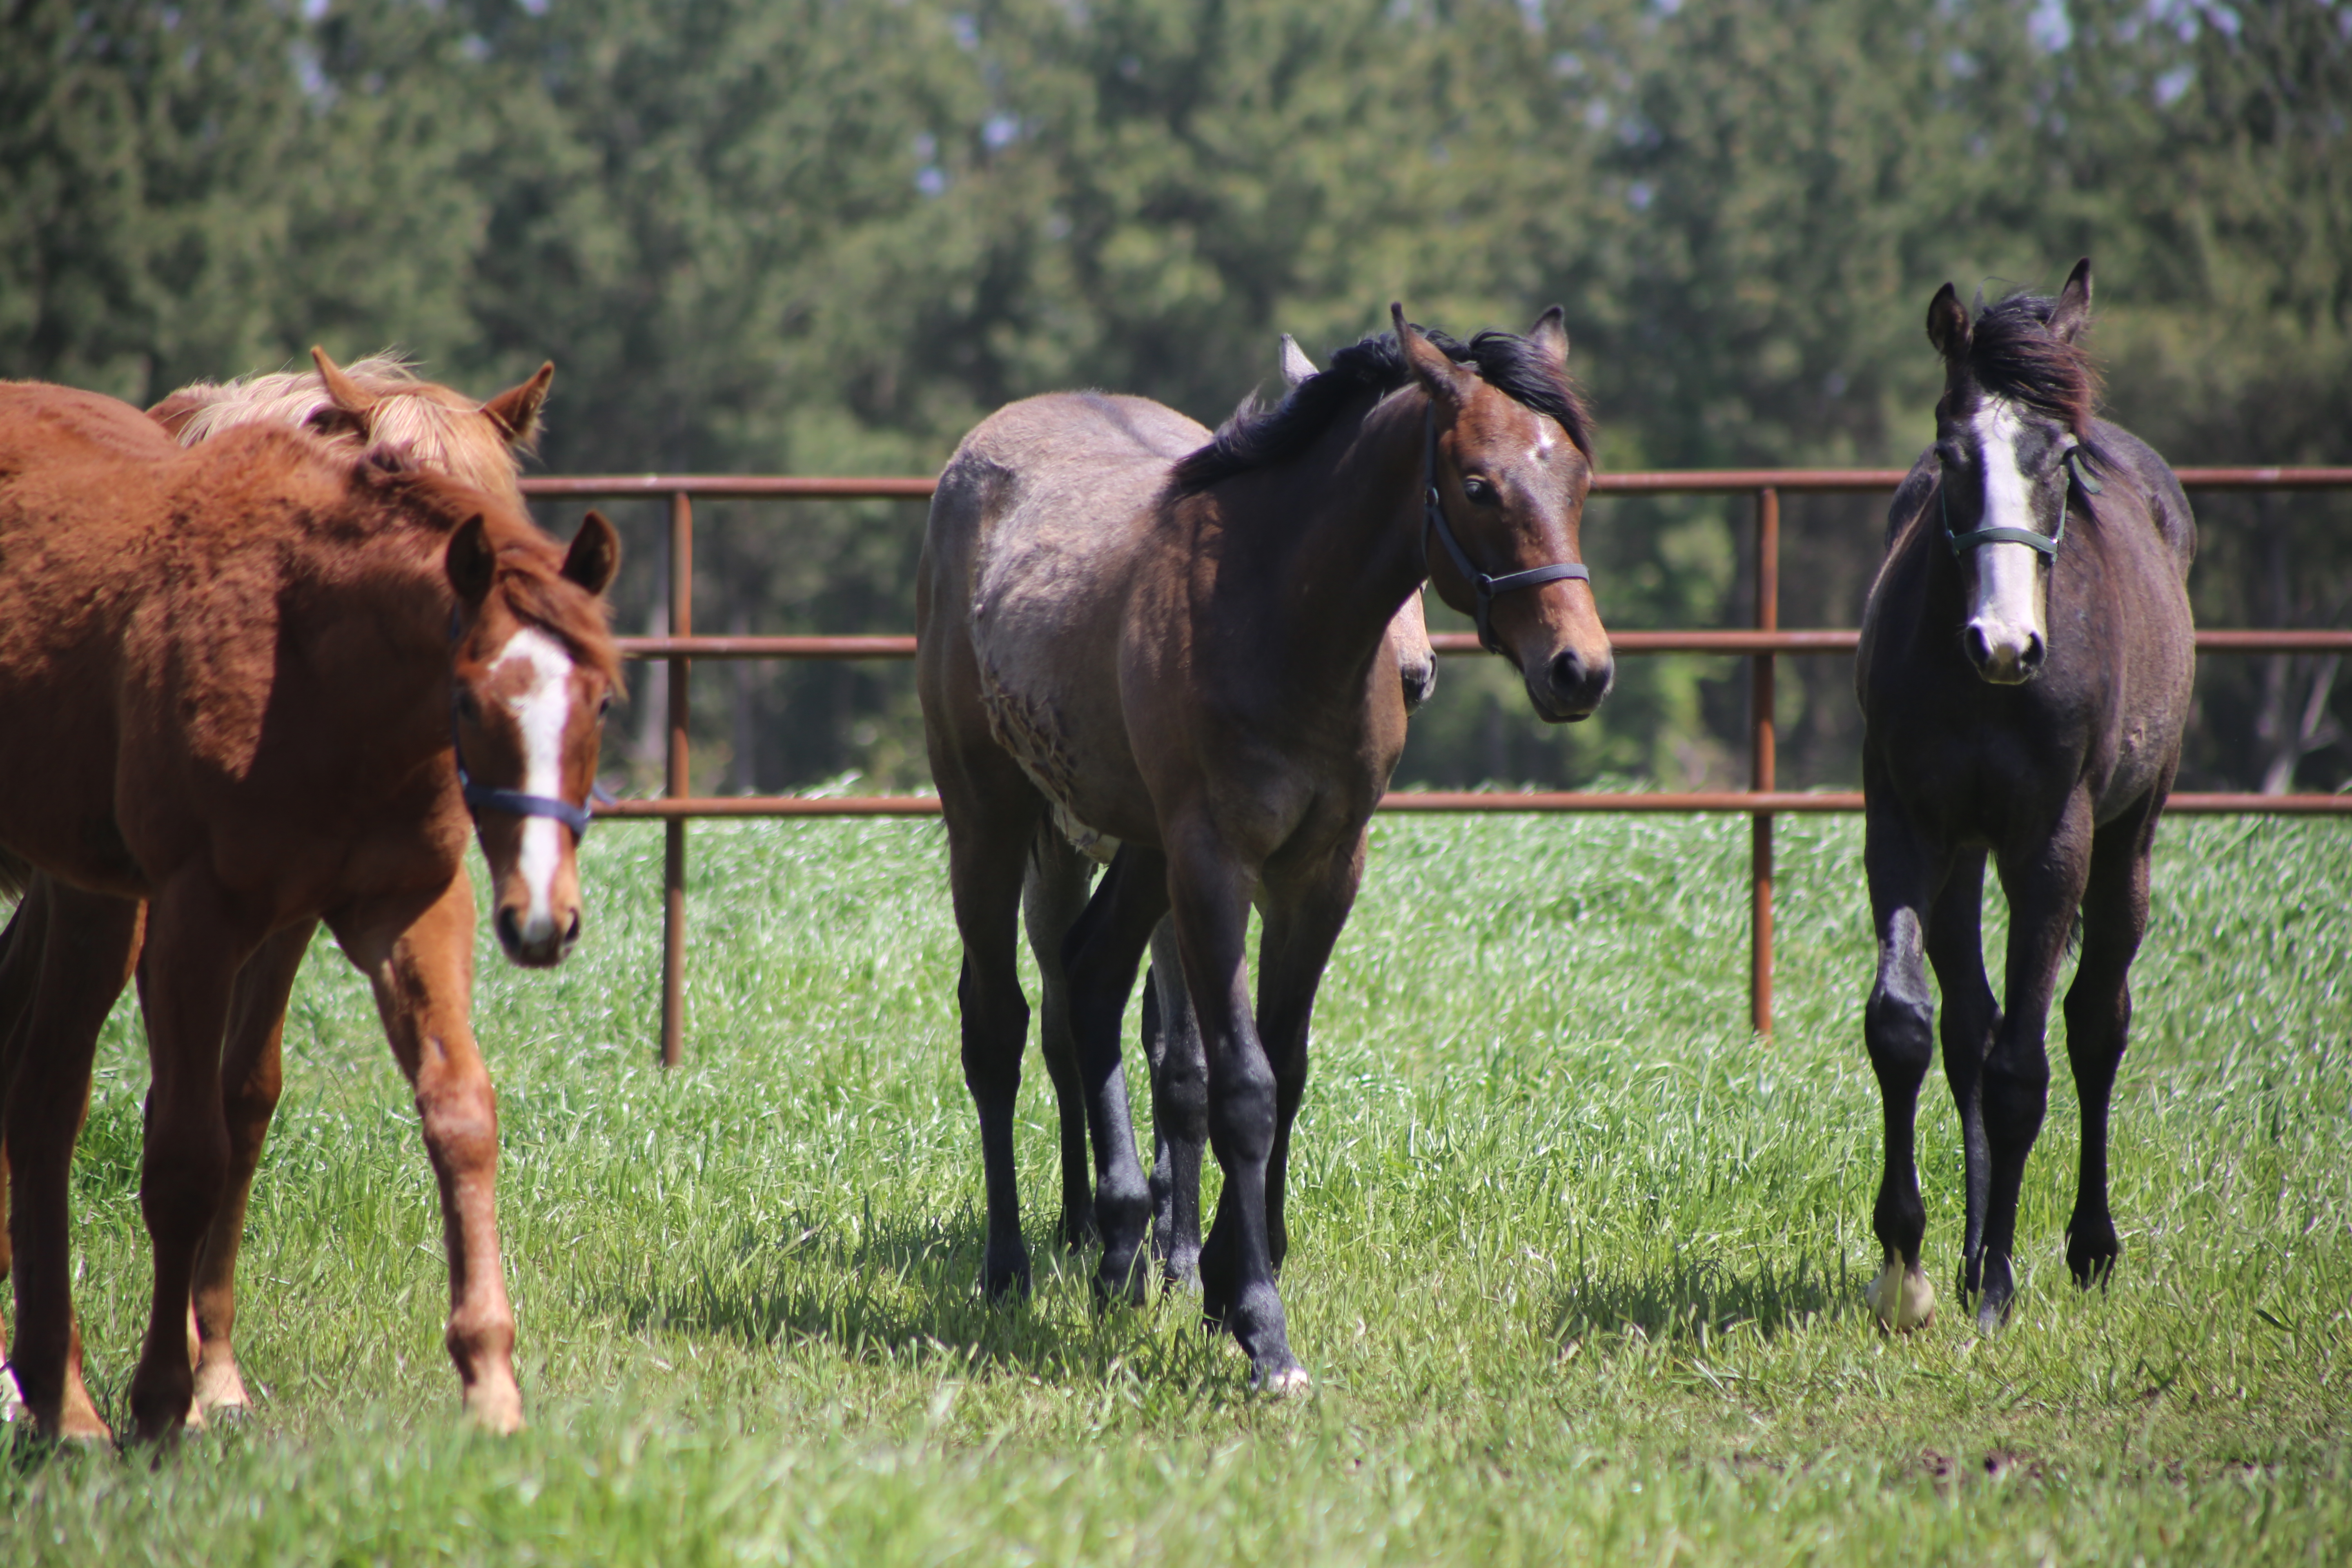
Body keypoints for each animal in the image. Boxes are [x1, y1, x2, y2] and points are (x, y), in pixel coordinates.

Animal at [0, 376, 621, 1439]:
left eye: (605, 702)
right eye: (467, 701)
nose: (542, 919)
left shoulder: (405, 909)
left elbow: (452, 1111)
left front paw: (490, 1382)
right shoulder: (195, 921)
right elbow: (184, 1154)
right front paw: (163, 1400)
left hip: (89, 893)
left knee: (43, 1092)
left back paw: (59, 1393)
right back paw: (67, 1400)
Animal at [917, 305, 1618, 1382]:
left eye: (1578, 480)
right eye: (1475, 484)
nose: (1579, 669)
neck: (1276, 614)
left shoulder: (1321, 870)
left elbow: (1280, 1069)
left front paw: (1217, 1277)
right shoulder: (1214, 864)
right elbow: (1238, 1084)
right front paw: (1260, 1324)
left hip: (1136, 850)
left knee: (1090, 982)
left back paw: (1117, 1248)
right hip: (992, 821)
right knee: (997, 1026)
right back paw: (1010, 1269)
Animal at [1853, 257, 2201, 1335]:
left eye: (2057, 457)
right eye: (1948, 449)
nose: (2004, 643)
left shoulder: (2053, 841)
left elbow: (2024, 1067)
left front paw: (1998, 1289)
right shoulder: (1905, 825)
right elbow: (1906, 1026)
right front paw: (1907, 1268)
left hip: (2127, 840)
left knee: (2094, 1024)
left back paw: (2086, 1246)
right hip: (1968, 853)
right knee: (1972, 1025)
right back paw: (1967, 1253)